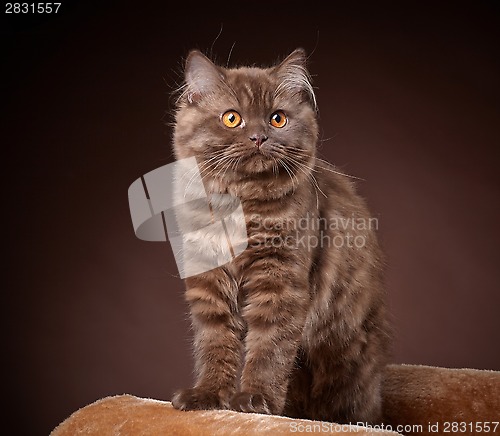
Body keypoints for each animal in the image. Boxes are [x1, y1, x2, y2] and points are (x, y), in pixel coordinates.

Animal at [171, 49, 390, 424]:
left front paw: (255, 402)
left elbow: (269, 348)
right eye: (232, 119)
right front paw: (208, 397)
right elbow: (215, 344)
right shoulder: (209, 284)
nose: (259, 137)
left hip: (347, 360)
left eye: (277, 119)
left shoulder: (281, 282)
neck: (240, 205)